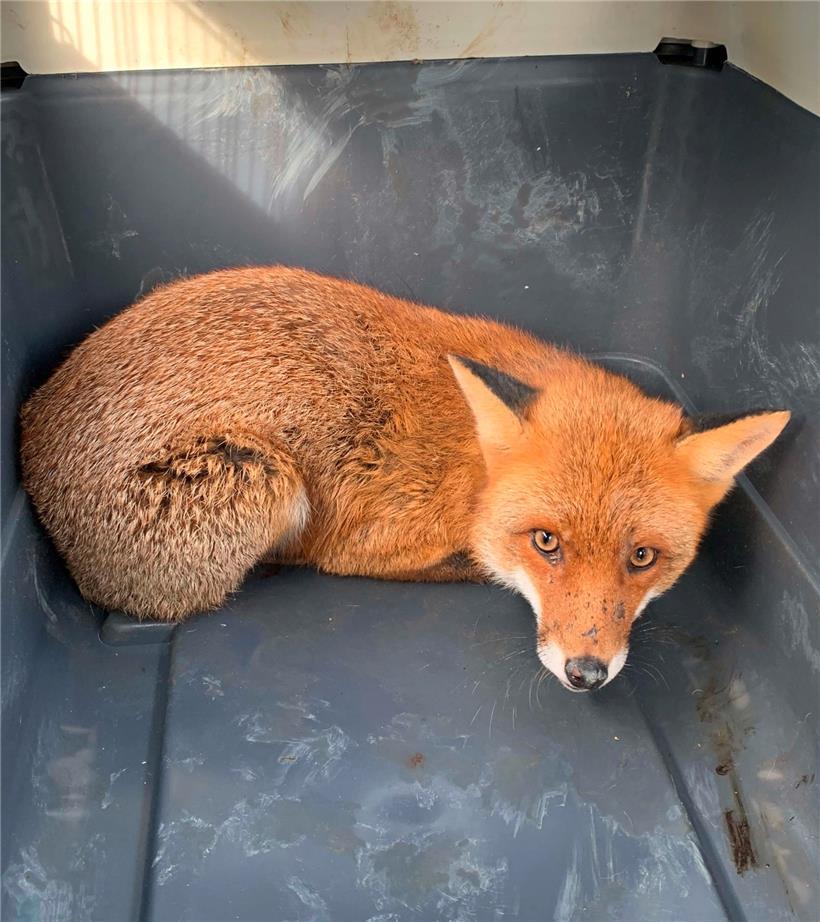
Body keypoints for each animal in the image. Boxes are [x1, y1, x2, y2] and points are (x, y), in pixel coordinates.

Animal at [20, 266, 790, 691]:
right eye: (546, 542)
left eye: (643, 557)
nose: (586, 674)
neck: (470, 471)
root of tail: (30, 428)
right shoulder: (364, 542)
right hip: (265, 480)